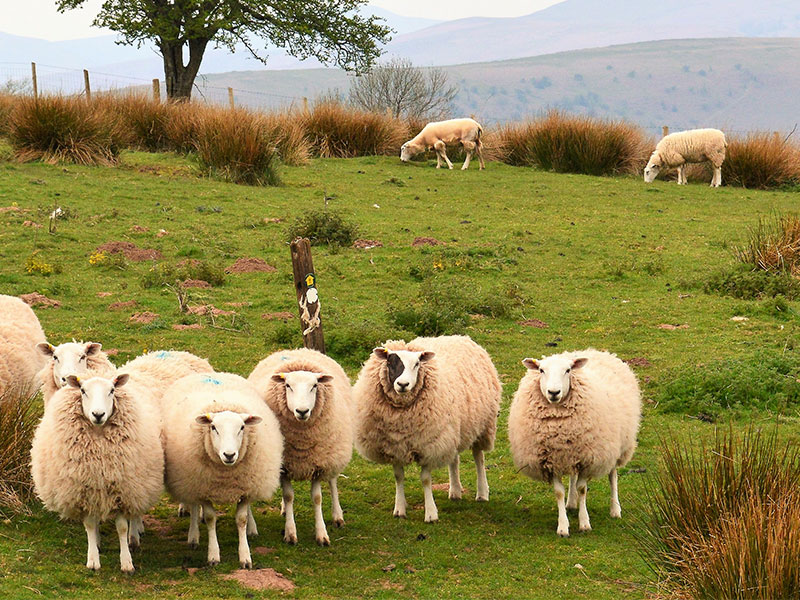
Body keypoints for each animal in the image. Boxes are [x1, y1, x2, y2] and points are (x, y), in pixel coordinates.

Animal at [30, 373, 164, 573]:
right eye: (83, 390)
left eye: (112, 390)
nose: (98, 414)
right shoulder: (84, 492)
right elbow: (90, 525)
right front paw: (93, 559)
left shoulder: (122, 492)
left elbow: (122, 527)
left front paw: (127, 562)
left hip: (138, 486)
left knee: (135, 512)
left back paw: (134, 536)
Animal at [161, 372, 283, 568]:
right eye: (213, 427)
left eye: (242, 427)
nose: (229, 454)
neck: (226, 478)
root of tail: (212, 373)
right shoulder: (203, 489)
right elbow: (210, 518)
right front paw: (213, 555)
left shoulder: (246, 487)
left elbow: (241, 519)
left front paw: (245, 556)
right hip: (191, 479)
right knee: (193, 505)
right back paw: (193, 536)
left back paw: (252, 529)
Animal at [248, 348, 352, 546]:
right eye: (288, 385)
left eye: (314, 386)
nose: (302, 411)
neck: (302, 444)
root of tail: (298, 350)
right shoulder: (285, 466)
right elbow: (289, 496)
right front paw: (290, 532)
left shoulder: (318, 464)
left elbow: (317, 498)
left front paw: (322, 534)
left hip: (334, 452)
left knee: (333, 481)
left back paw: (338, 516)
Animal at [353, 335, 501, 522]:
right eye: (390, 361)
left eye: (417, 364)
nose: (403, 384)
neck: (401, 421)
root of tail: (459, 337)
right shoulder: (395, 445)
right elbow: (398, 476)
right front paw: (400, 508)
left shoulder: (428, 445)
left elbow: (425, 480)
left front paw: (431, 513)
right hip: (451, 430)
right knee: (454, 459)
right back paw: (455, 491)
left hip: (481, 426)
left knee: (478, 458)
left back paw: (482, 493)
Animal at [508, 349, 641, 537]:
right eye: (541, 370)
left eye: (568, 370)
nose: (553, 392)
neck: (559, 424)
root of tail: (596, 351)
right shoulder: (552, 460)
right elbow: (558, 492)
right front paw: (563, 526)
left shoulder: (588, 458)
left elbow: (582, 489)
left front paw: (584, 523)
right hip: (571, 452)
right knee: (572, 475)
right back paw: (571, 503)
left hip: (616, 447)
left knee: (613, 475)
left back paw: (615, 509)